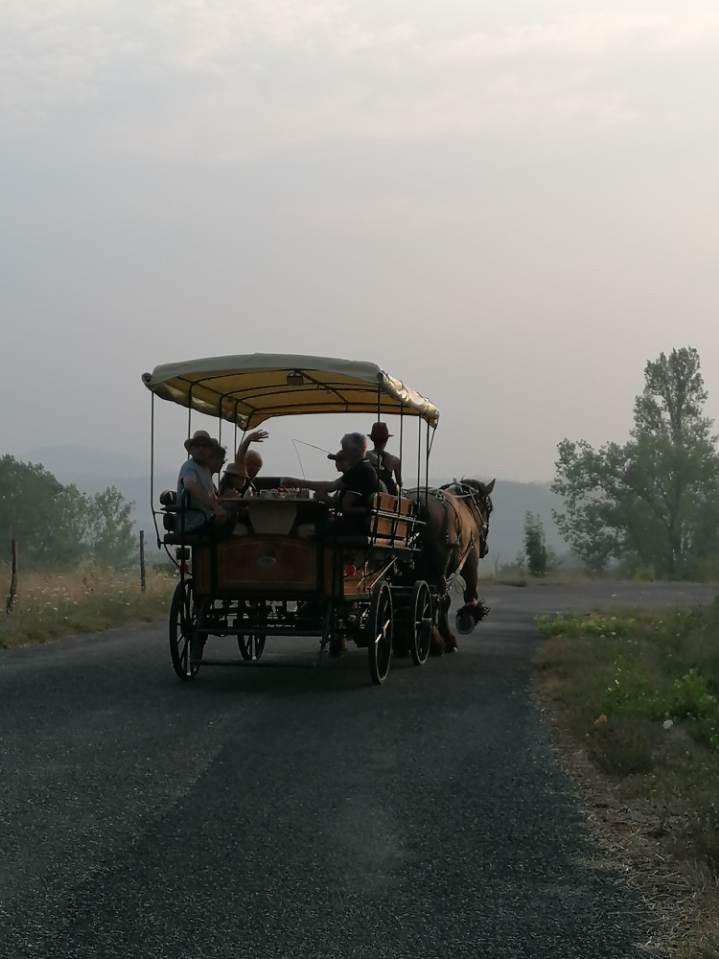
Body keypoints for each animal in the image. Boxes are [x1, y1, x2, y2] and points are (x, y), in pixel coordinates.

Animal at [408, 478, 498, 652]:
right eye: (489, 509)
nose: (485, 549)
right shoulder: (470, 558)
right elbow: (466, 590)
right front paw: (469, 615)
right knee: (433, 599)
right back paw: (436, 641)